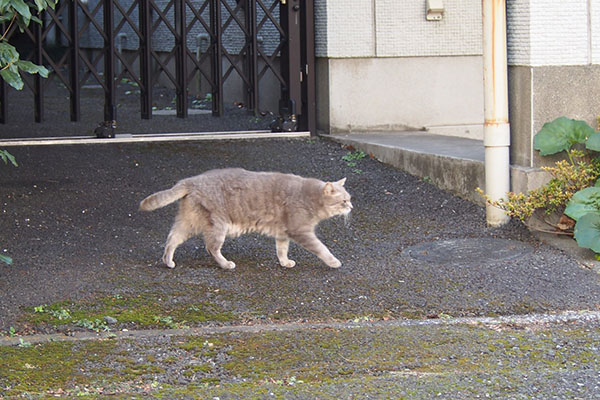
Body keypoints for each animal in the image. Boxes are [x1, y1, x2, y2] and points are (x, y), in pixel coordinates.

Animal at [140, 167, 352, 270]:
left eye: (349, 199)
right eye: (343, 201)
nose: (351, 207)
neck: (310, 197)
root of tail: (190, 180)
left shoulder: (283, 233)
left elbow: (281, 250)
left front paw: (285, 262)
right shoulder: (301, 231)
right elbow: (322, 248)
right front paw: (334, 262)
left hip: (188, 221)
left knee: (172, 239)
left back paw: (168, 261)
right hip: (218, 224)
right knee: (211, 247)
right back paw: (226, 265)